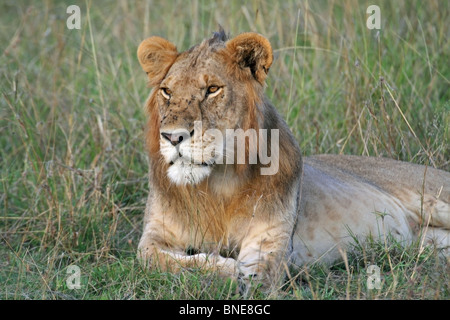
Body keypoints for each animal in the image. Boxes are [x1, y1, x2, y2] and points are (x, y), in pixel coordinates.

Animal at [137, 29, 450, 292]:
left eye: (212, 89)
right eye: (167, 91)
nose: (172, 137)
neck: (216, 185)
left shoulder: (270, 238)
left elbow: (256, 276)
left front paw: (235, 273)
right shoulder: (152, 235)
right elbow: (155, 259)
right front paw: (223, 266)